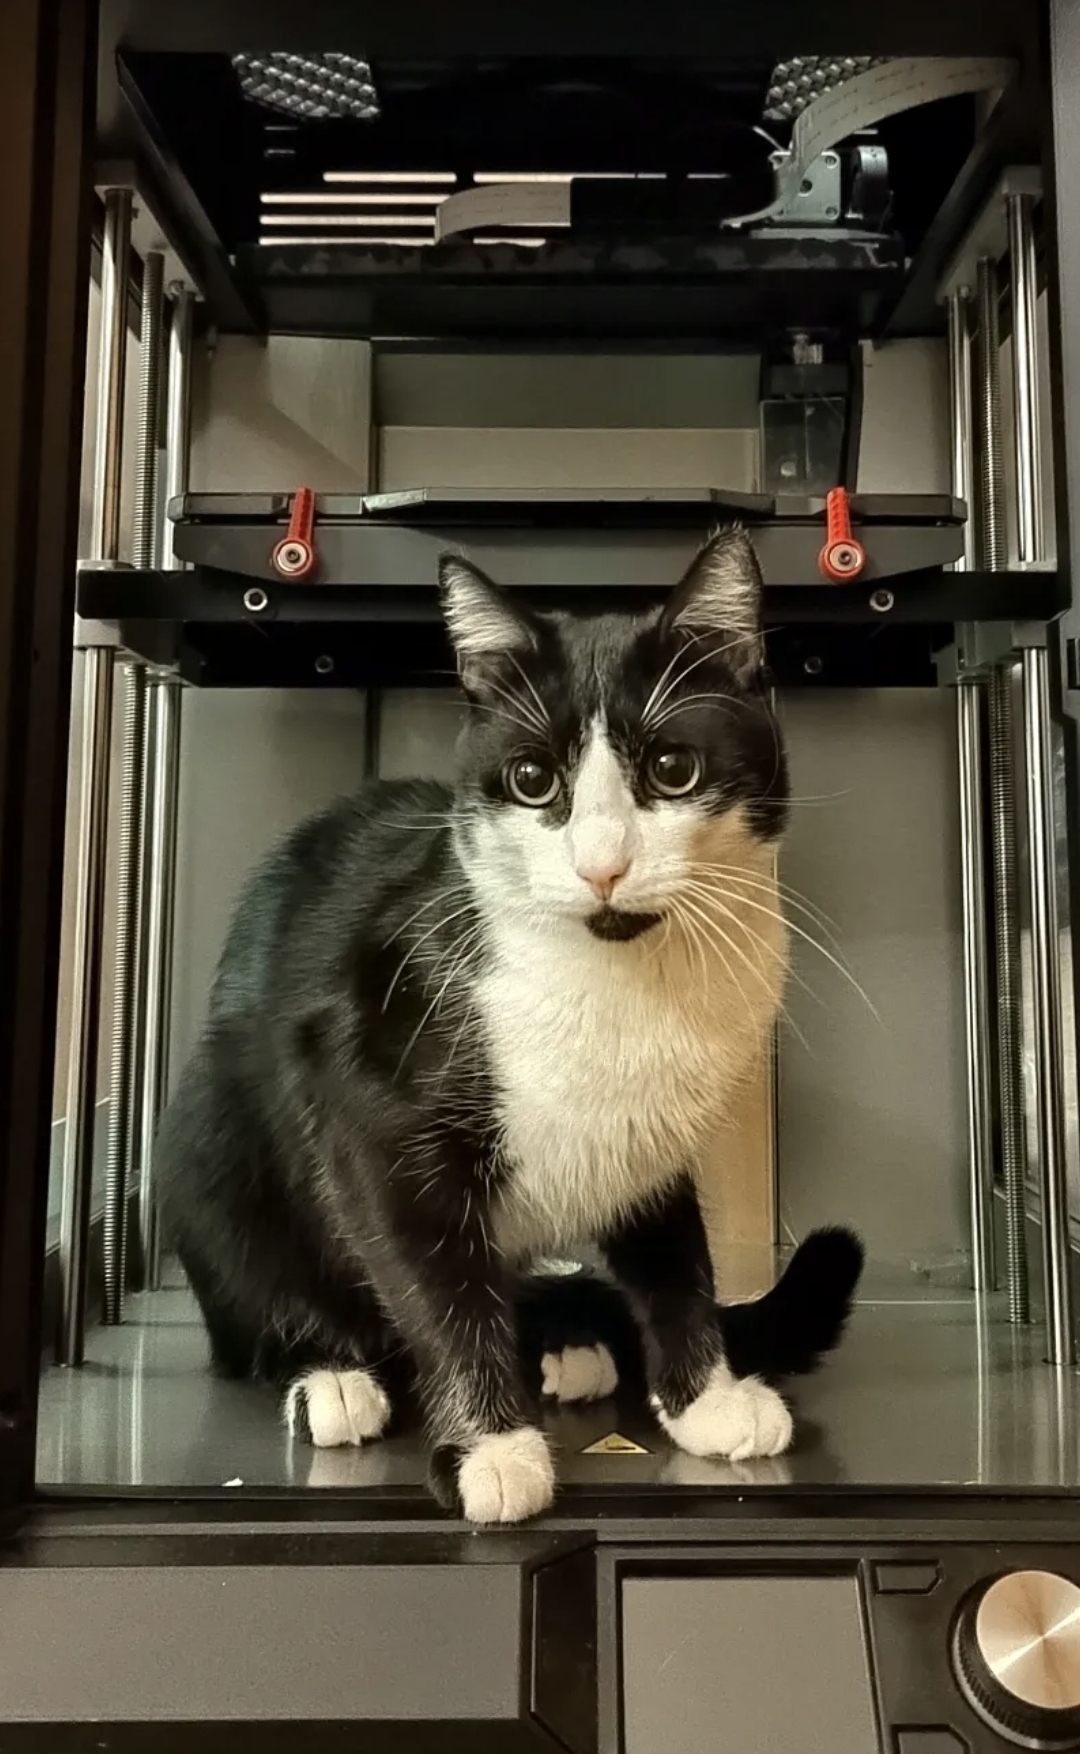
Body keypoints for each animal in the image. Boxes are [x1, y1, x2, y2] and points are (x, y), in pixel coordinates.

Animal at [157, 526, 863, 1523]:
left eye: (672, 768)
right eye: (533, 781)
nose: (603, 865)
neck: (620, 979)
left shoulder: (653, 1135)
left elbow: (674, 1253)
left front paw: (705, 1398)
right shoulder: (368, 1096)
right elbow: (435, 1280)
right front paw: (491, 1446)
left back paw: (564, 1339)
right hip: (210, 1135)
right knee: (263, 1298)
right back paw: (330, 1370)